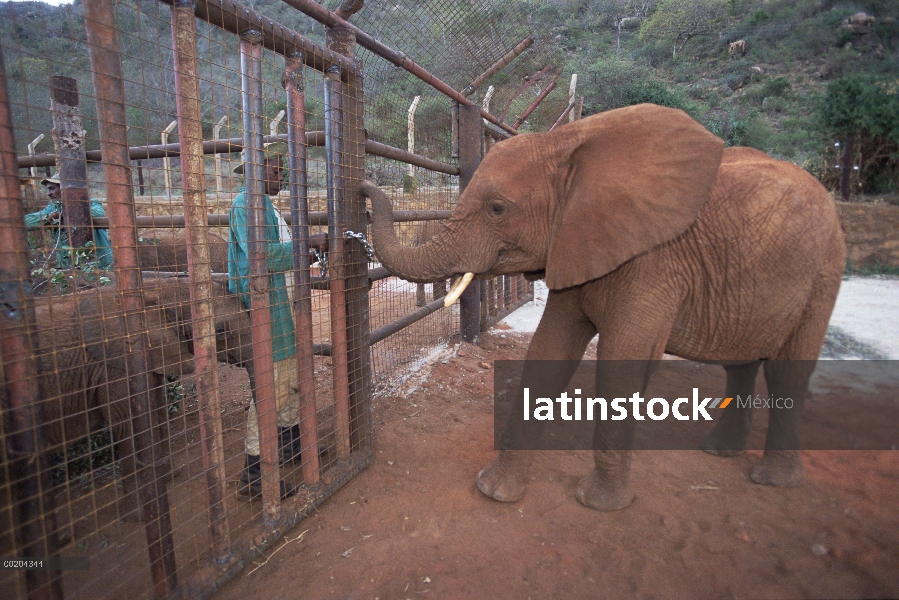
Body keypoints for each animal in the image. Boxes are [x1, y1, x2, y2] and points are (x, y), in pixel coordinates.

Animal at [362, 103, 848, 510]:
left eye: (497, 209)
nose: (363, 186)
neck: (567, 146)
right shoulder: (577, 242)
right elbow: (547, 354)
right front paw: (495, 491)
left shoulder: (652, 260)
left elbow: (620, 365)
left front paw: (600, 503)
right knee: (740, 363)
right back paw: (720, 451)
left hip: (825, 270)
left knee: (788, 370)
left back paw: (772, 480)